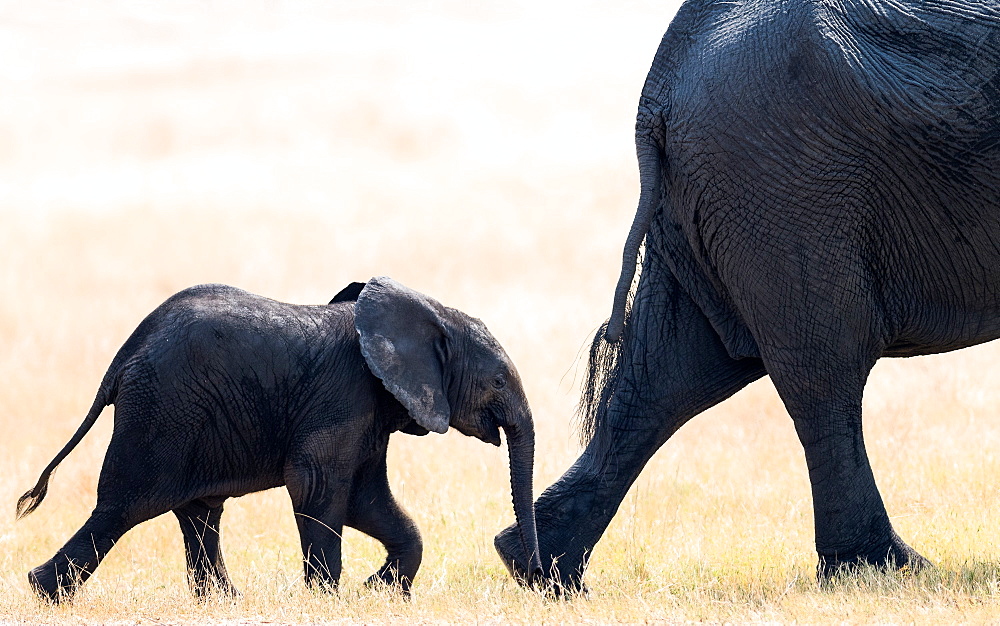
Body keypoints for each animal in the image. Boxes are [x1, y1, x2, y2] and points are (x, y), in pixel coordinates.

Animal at [19, 278, 544, 600]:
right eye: (498, 381)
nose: (539, 580)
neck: (427, 311)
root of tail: (125, 354)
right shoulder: (343, 398)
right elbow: (316, 486)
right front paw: (329, 600)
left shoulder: (371, 414)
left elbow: (366, 499)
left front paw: (377, 592)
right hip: (160, 414)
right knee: (121, 507)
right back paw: (44, 592)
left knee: (198, 513)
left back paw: (224, 603)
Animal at [496, 0, 1000, 588]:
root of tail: (661, 84)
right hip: (788, 184)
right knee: (822, 369)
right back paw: (882, 569)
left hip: (718, 194)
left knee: (669, 375)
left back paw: (538, 568)